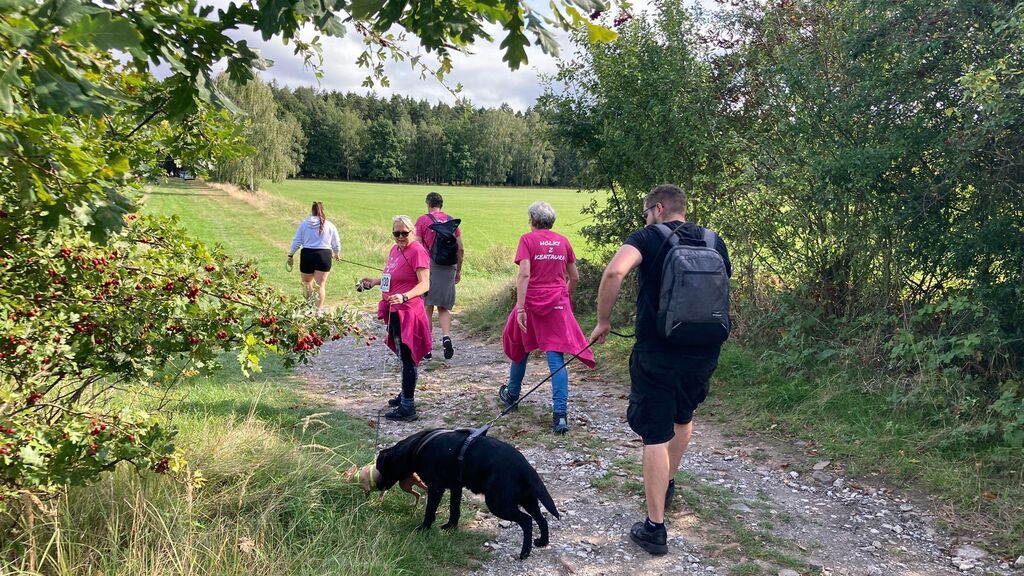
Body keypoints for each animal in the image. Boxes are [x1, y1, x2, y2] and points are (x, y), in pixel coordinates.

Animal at [373, 428, 560, 560]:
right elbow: (454, 509)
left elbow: (429, 511)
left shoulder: (436, 488)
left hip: (498, 503)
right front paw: (451, 527)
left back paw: (524, 553)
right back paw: (542, 542)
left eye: (381, 468)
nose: (377, 485)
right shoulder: (456, 486)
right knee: (541, 519)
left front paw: (424, 528)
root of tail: (524, 466)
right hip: (528, 500)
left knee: (527, 521)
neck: (417, 447)